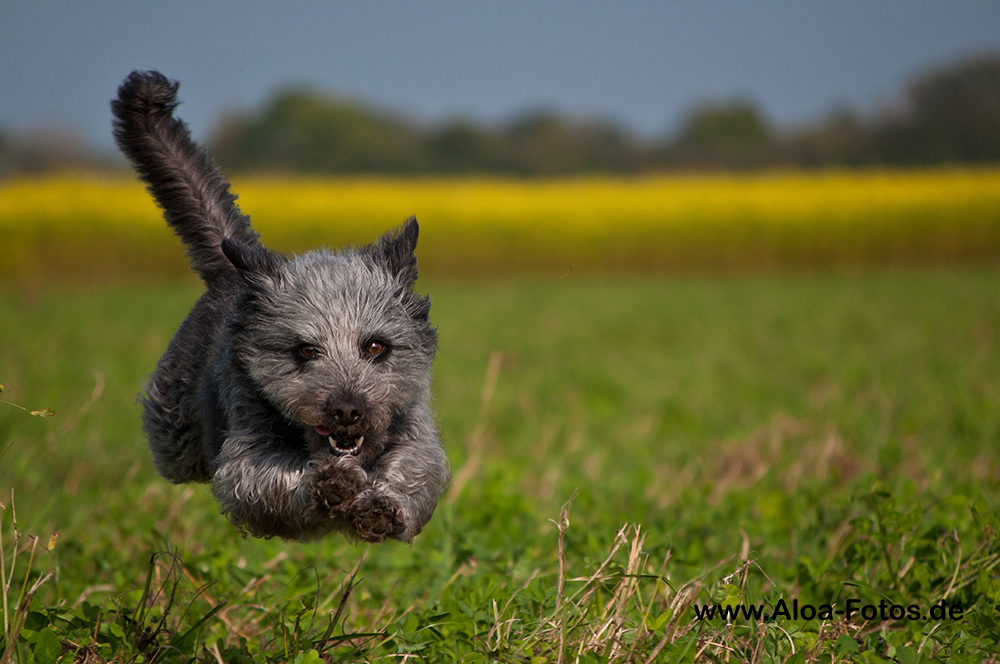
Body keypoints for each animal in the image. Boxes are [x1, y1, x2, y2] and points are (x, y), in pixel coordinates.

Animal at [112, 70, 450, 544]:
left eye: (375, 346)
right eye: (305, 350)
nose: (348, 410)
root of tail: (235, 267)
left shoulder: (417, 436)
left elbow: (414, 471)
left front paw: (381, 505)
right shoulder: (244, 456)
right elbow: (269, 477)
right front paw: (331, 483)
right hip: (173, 429)